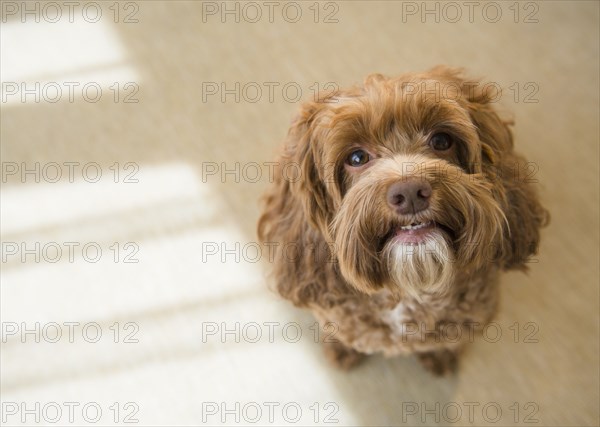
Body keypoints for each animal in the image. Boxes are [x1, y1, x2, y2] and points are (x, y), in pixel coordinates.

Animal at [258, 66, 548, 374]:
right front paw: (341, 348)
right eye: (357, 157)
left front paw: (441, 356)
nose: (410, 193)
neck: (410, 289)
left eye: (441, 141)